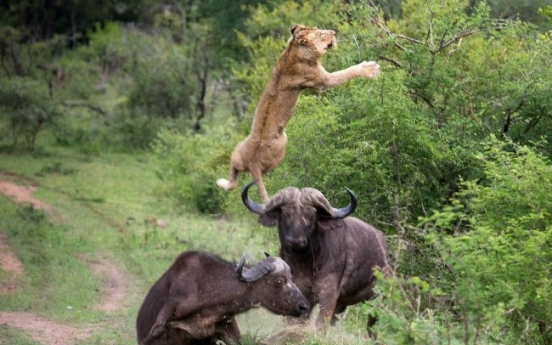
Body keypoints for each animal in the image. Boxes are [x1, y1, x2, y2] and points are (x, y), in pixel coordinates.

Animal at [239, 180, 390, 334]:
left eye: (311, 216)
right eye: (286, 213)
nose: (296, 241)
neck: (305, 264)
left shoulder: (328, 295)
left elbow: (320, 325)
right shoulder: (301, 295)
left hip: (379, 300)